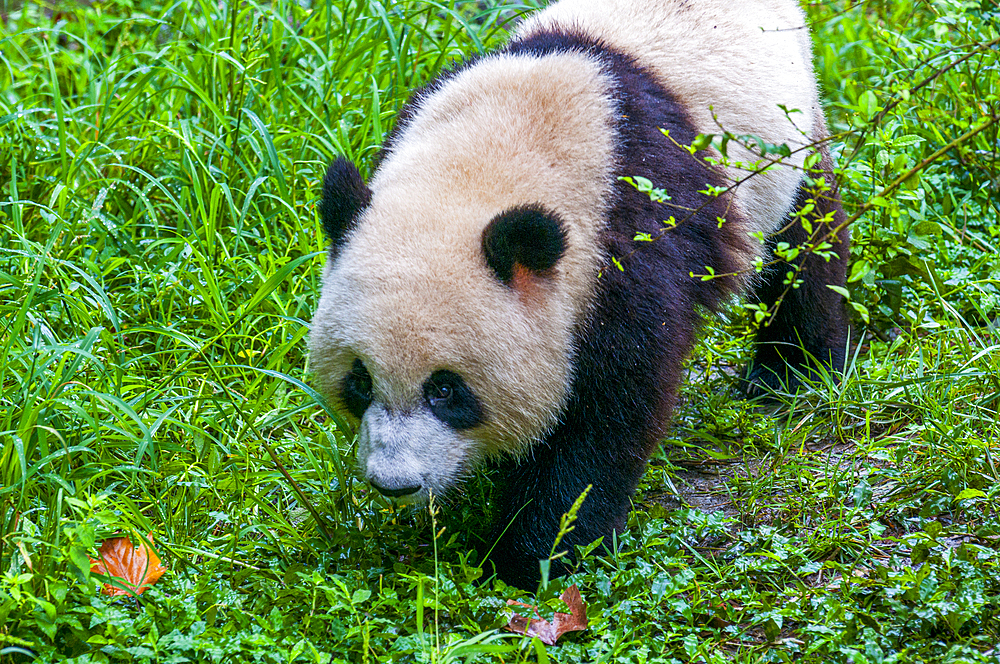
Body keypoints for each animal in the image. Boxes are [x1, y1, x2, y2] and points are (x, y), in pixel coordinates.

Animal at [308, 1, 848, 592]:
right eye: (359, 380)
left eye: (446, 390)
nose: (394, 483)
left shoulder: (624, 249)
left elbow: (606, 415)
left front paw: (534, 556)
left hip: (788, 138)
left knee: (806, 245)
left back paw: (792, 369)